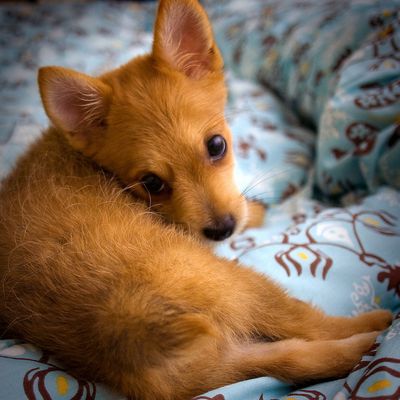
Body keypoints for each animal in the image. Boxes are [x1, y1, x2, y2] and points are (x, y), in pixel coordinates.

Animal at [0, 0, 392, 400]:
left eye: (217, 145)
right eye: (151, 183)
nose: (222, 231)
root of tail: (129, 335)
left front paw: (254, 211)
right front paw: (260, 213)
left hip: (230, 362)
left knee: (299, 360)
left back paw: (360, 347)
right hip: (242, 287)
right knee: (310, 323)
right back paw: (376, 323)